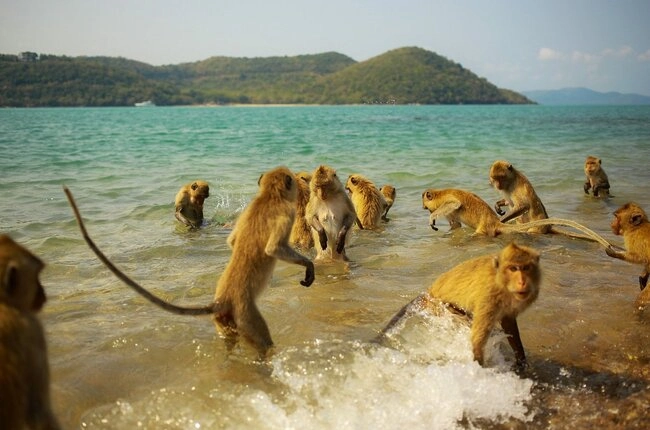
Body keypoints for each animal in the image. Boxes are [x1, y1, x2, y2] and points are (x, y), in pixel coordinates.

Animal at [64, 166, 315, 358]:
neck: (269, 197)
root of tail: (221, 301)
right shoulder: (285, 214)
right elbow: (273, 248)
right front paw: (309, 267)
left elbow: (232, 241)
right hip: (246, 316)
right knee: (263, 343)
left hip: (225, 321)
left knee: (229, 340)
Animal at [378, 243, 541, 370]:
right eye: (513, 269)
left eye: (526, 268)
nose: (522, 281)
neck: (502, 281)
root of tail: (429, 291)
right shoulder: (489, 296)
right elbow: (478, 339)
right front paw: (479, 366)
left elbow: (508, 322)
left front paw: (521, 360)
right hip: (438, 305)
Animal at [421, 187, 614, 248]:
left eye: (426, 204)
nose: (425, 209)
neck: (439, 193)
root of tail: (494, 222)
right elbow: (456, 225)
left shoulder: (448, 200)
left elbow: (455, 204)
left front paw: (432, 219)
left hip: (483, 231)